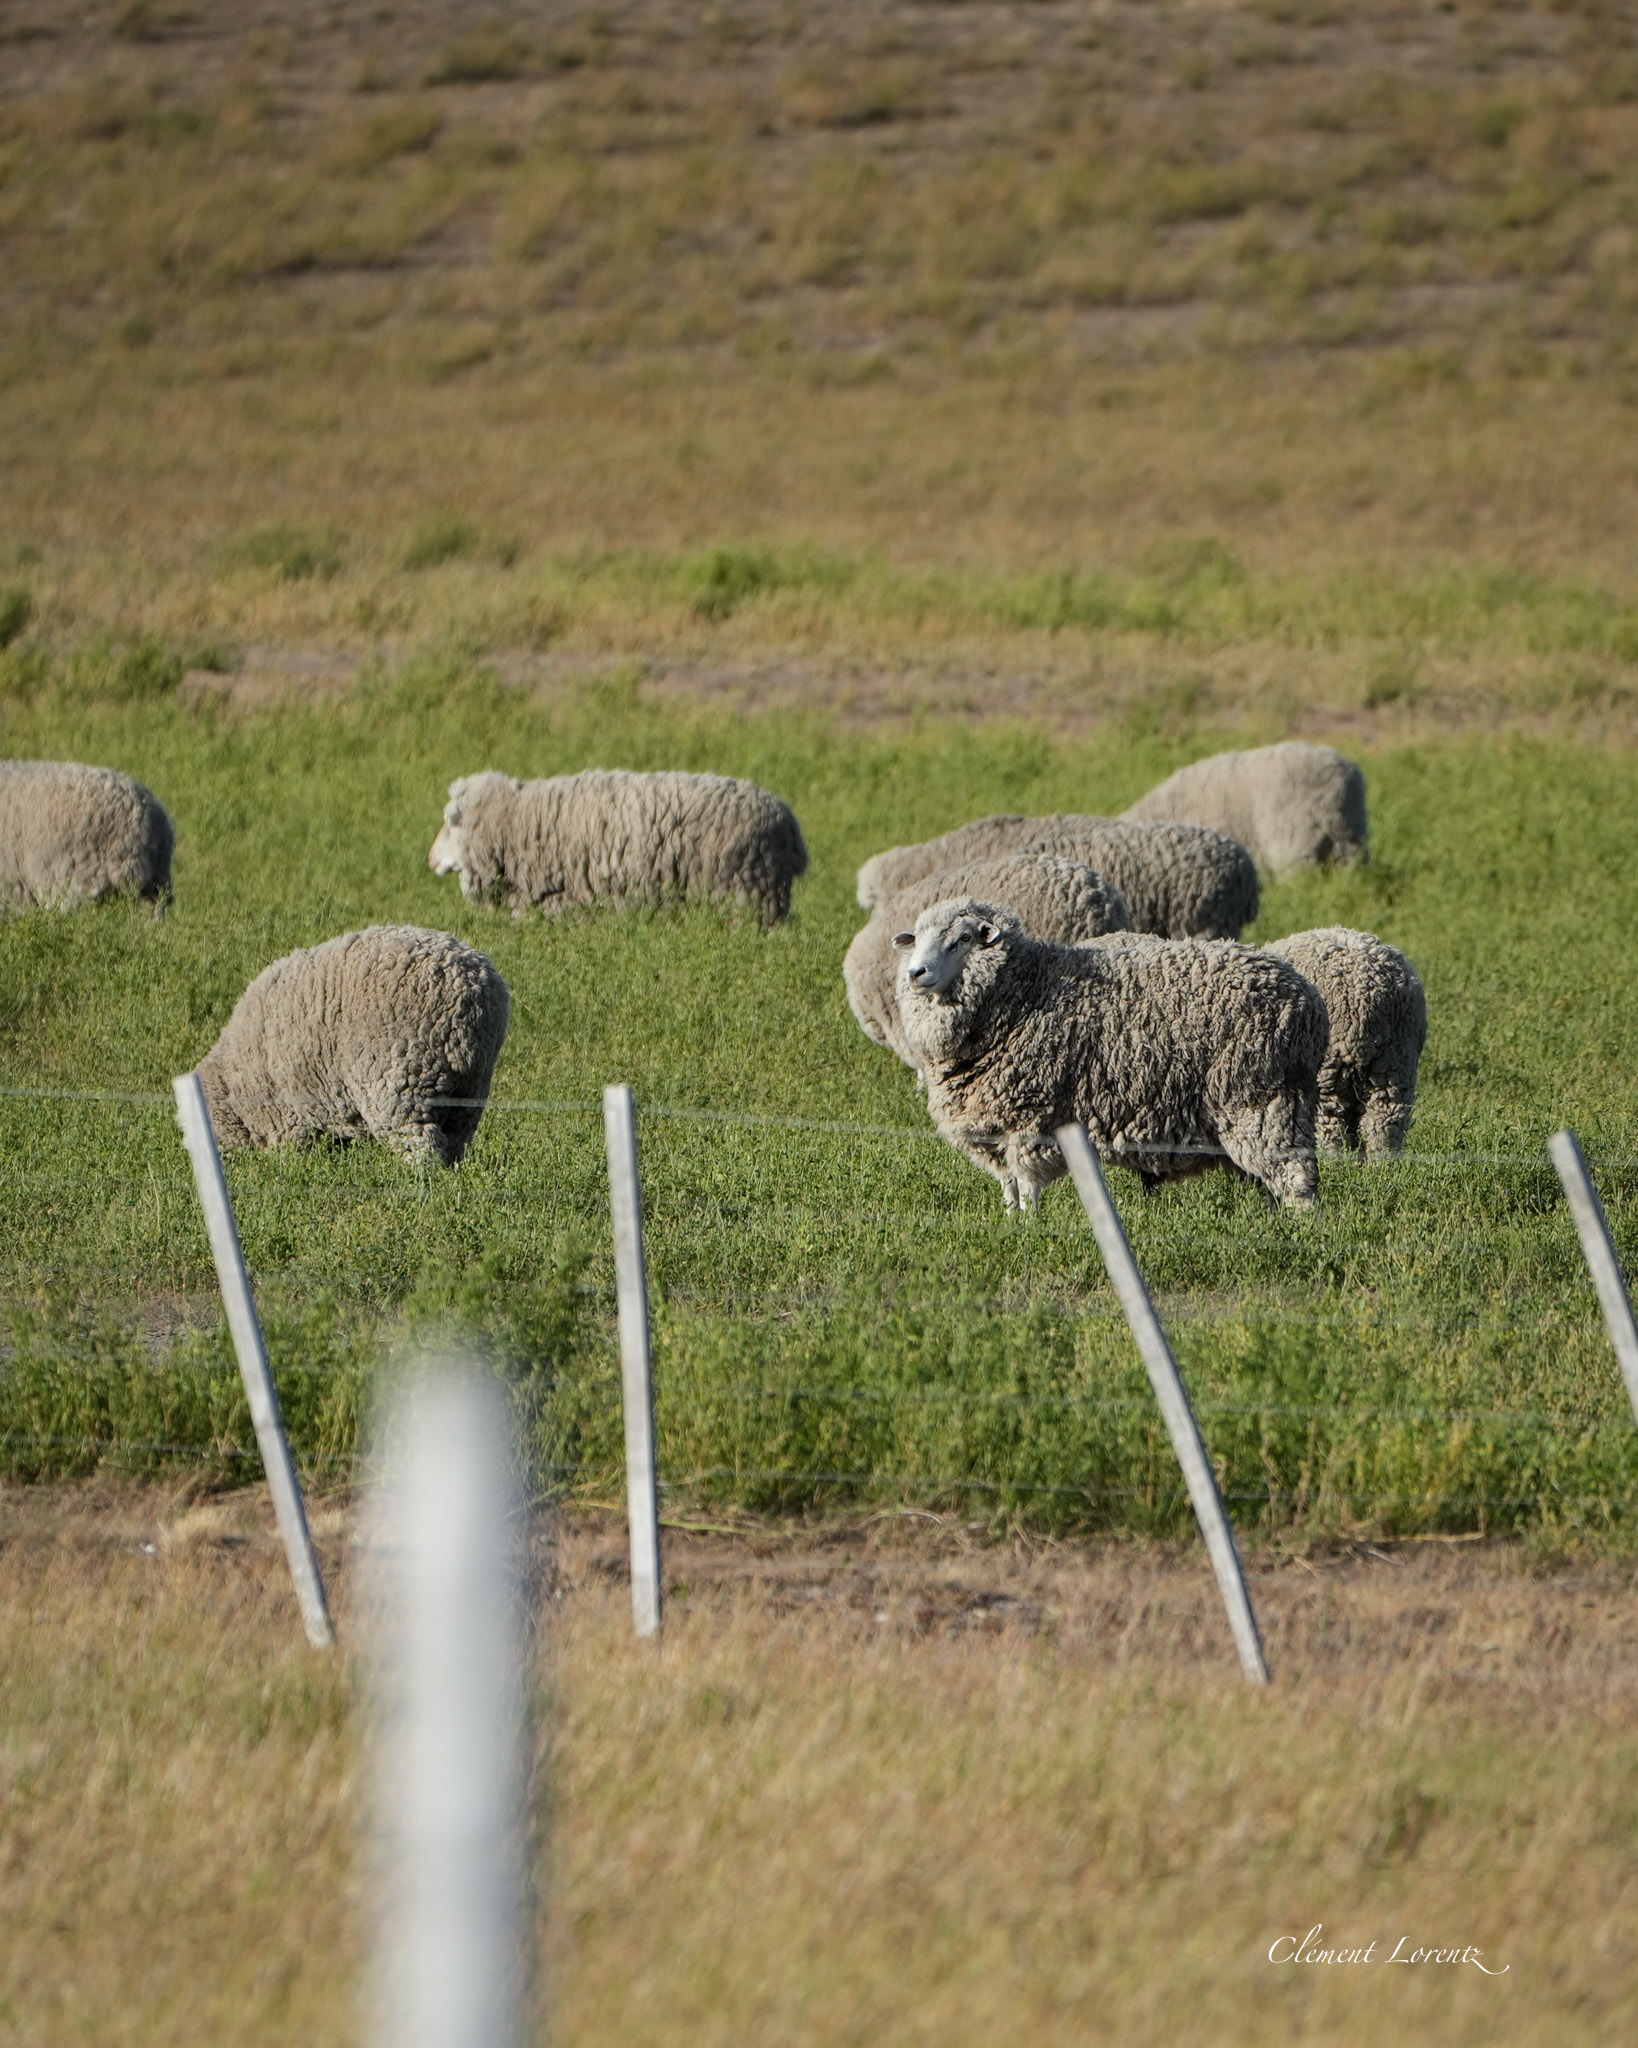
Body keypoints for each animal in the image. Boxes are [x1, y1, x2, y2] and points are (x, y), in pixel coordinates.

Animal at [195, 925, 510, 1167]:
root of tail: (471, 988)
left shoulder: (286, 1115)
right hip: (470, 1087)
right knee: (455, 1140)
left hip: (404, 1078)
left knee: (420, 1144)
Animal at [429, 768, 808, 927]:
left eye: (450, 821)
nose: (430, 859)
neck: (518, 820)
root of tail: (790, 823)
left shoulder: (566, 901)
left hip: (750, 892)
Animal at [894, 898, 1328, 1213]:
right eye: (917, 937)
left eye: (963, 938)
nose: (916, 973)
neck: (1023, 991)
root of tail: (1308, 998)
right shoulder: (994, 1126)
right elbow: (1010, 1188)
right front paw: (1010, 1225)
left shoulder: (1030, 1119)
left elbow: (1029, 1186)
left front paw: (1032, 1232)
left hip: (1260, 1099)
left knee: (1296, 1176)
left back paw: (1303, 1231)